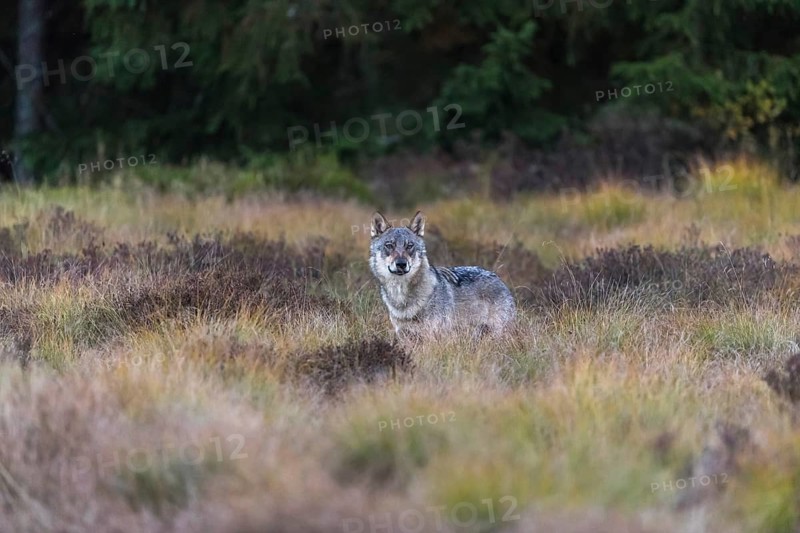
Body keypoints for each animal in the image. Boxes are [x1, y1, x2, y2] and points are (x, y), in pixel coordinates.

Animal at [369, 210, 516, 342]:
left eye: (409, 246)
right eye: (389, 245)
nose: (401, 264)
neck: (401, 299)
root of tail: (497, 277)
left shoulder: (432, 337)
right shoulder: (405, 337)